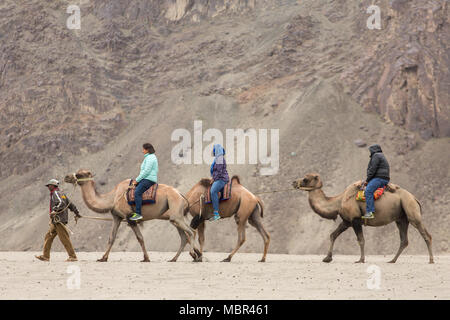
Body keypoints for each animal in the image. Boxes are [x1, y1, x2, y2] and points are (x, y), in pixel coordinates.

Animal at [63, 170, 200, 262]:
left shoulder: (130, 218)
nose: (66, 177)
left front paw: (146, 258)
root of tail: (182, 195)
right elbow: (111, 237)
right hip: (175, 217)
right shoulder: (117, 217)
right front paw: (103, 258)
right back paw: (175, 258)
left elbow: (140, 238)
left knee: (191, 232)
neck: (113, 198)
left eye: (80, 174)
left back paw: (194, 255)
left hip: (176, 212)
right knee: (184, 237)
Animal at [290, 174, 434, 264]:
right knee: (404, 240)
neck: (339, 201)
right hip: (401, 219)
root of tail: (414, 198)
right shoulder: (346, 221)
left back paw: (431, 260)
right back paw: (392, 260)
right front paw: (327, 258)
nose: (293, 182)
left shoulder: (355, 220)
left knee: (426, 235)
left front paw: (361, 259)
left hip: (412, 211)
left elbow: (361, 240)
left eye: (305, 178)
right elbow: (333, 235)